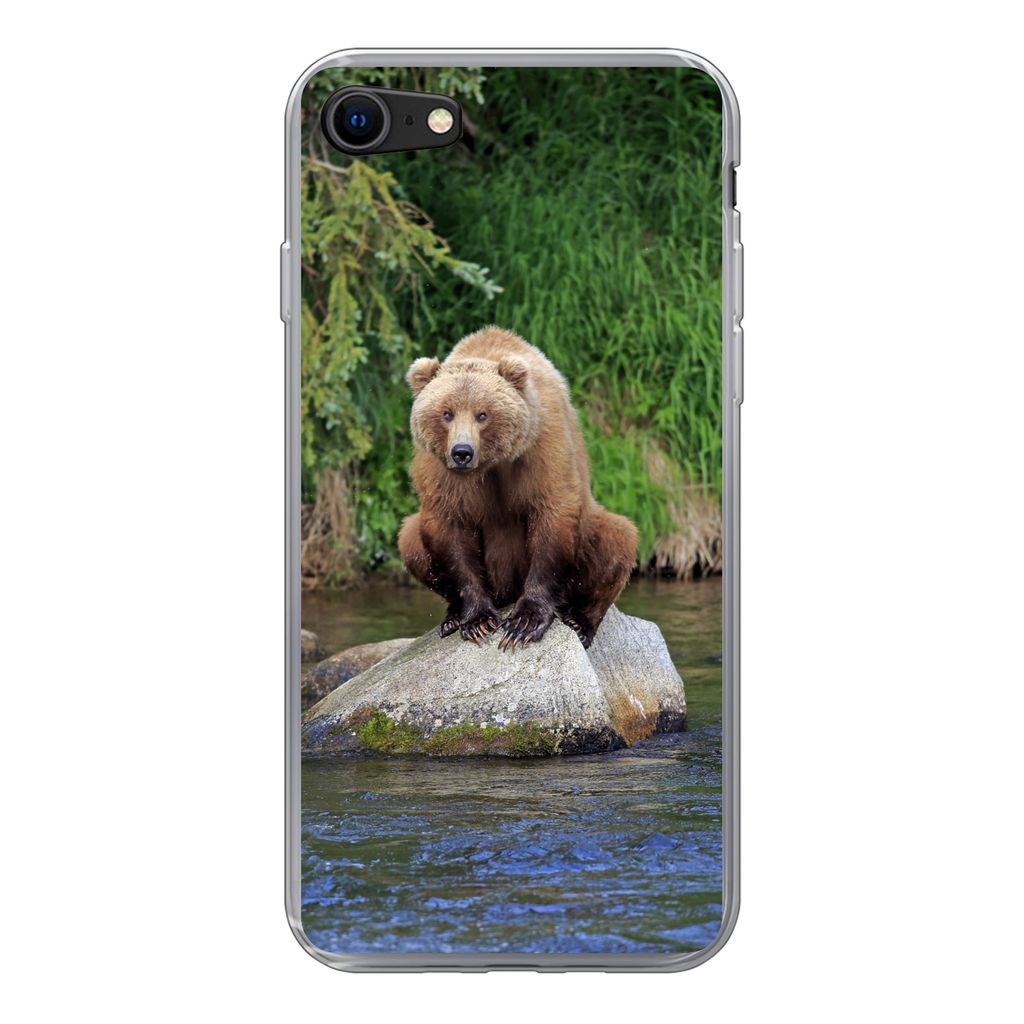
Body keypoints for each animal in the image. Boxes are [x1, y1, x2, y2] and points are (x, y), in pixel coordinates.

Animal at [397, 325, 638, 651]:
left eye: (482, 414)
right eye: (446, 413)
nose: (462, 452)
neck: (492, 464)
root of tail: (506, 593)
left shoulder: (541, 446)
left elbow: (553, 513)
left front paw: (524, 622)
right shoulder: (440, 470)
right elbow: (451, 527)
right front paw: (477, 621)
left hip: (590, 534)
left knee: (617, 538)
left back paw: (580, 620)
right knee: (410, 539)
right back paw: (451, 618)